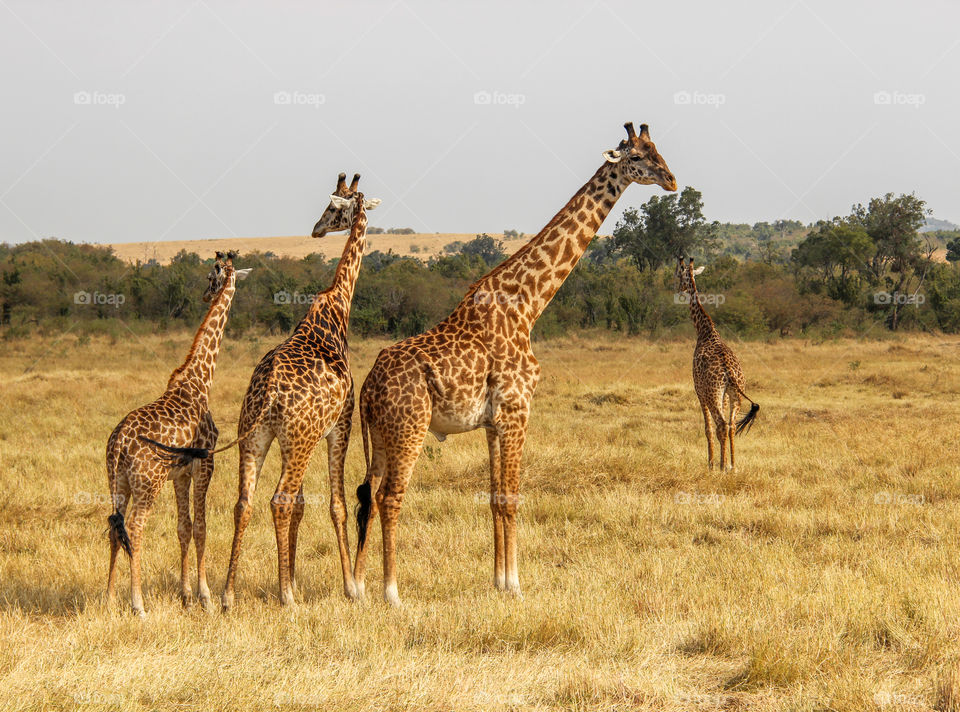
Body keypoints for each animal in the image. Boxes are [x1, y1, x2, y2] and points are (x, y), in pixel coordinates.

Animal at [105, 251, 252, 615]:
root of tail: (118, 444)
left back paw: (109, 598)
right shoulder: (205, 464)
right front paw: (206, 598)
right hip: (148, 484)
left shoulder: (181, 473)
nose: (205, 295)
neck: (200, 379)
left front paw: (186, 596)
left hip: (118, 482)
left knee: (114, 527)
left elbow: (183, 528)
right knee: (134, 529)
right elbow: (201, 528)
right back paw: (138, 605)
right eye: (211, 277)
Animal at [351, 123, 677, 606]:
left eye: (658, 150)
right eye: (637, 156)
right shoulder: (517, 410)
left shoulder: (492, 421)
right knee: (391, 498)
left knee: (367, 495)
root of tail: (368, 387)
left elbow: (493, 497)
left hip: (379, 434)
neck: (528, 304)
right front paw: (515, 584)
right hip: (409, 428)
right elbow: (512, 497)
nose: (671, 180)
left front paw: (497, 581)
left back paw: (355, 586)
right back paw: (391, 592)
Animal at [675, 257, 760, 470]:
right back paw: (733, 466)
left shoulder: (699, 390)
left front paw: (711, 463)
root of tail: (729, 371)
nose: (678, 289)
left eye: (678, 275)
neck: (705, 331)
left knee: (721, 424)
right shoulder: (724, 395)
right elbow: (725, 426)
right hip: (735, 393)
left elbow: (707, 427)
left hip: (714, 393)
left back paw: (720, 467)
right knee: (731, 425)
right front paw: (724, 462)